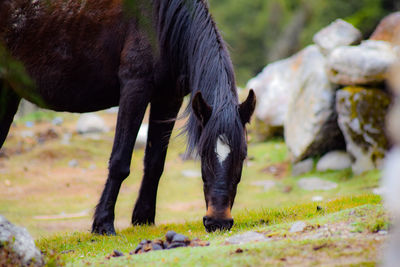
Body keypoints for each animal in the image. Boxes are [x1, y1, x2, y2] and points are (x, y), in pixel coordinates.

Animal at [0, 0, 256, 236]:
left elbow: (155, 162)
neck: (160, 21)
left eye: (243, 155)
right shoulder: (135, 88)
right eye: (202, 153)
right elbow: (120, 161)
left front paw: (143, 218)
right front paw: (103, 224)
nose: (218, 221)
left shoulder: (168, 98)